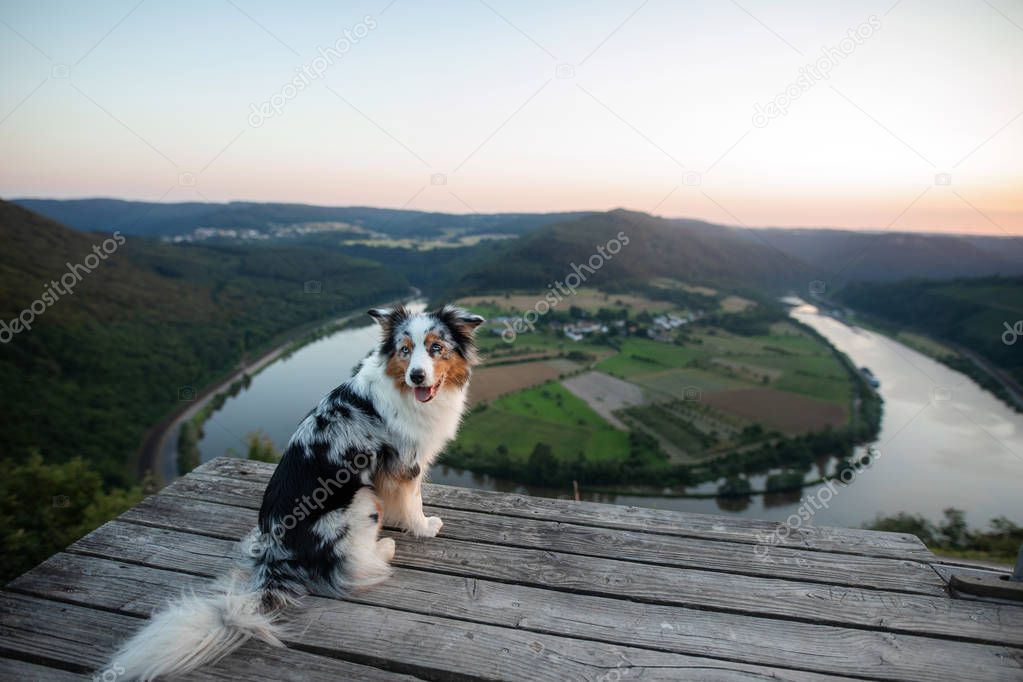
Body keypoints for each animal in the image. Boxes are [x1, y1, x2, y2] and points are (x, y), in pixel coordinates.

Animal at [106, 306, 482, 678]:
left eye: (436, 347)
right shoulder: (406, 463)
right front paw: (424, 527)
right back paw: (384, 547)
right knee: (352, 564)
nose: (417, 376)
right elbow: (413, 502)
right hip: (360, 501)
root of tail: (277, 556)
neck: (401, 388)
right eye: (405, 350)